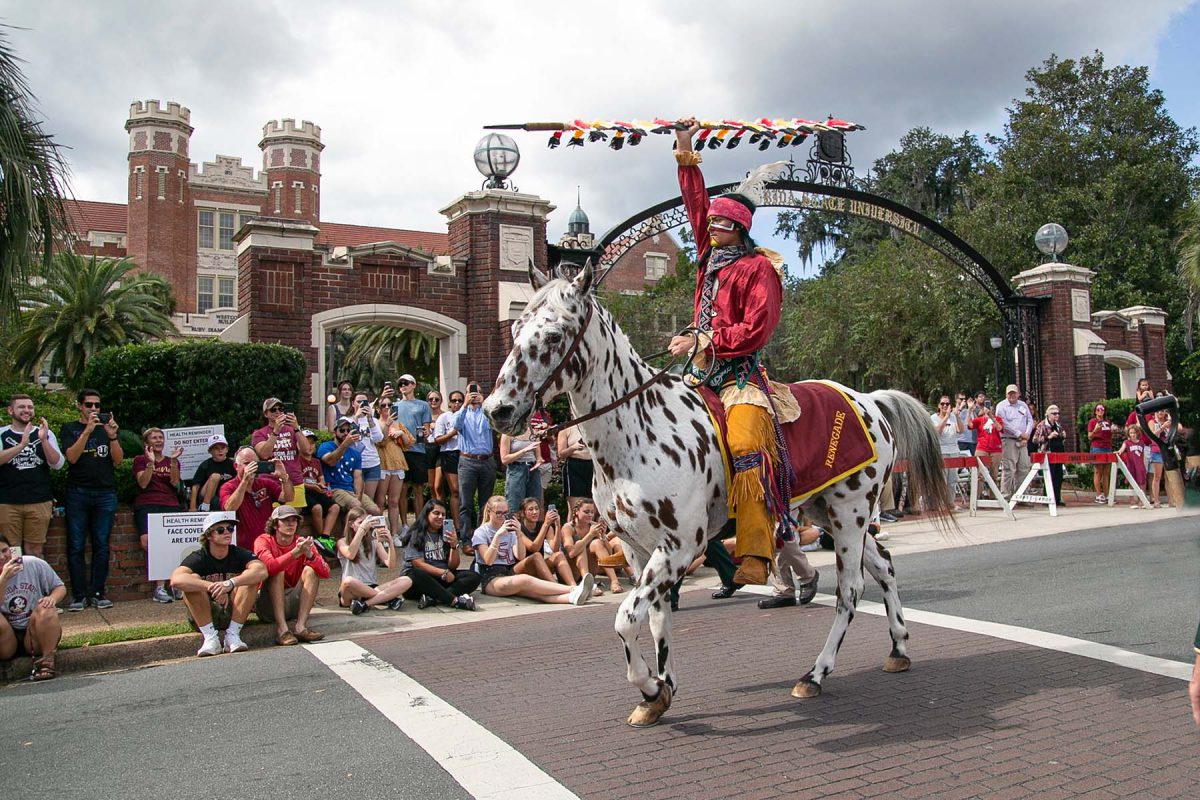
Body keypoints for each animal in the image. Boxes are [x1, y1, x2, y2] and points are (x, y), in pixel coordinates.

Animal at [482, 260, 950, 729]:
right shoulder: (638, 549)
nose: (496, 410)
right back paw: (898, 648)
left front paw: (650, 685)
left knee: (850, 591)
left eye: (554, 335)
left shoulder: (679, 546)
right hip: (828, 513)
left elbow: (625, 618)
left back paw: (815, 674)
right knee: (883, 566)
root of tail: (869, 399)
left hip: (850, 514)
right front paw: (661, 691)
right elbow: (655, 618)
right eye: (516, 328)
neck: (637, 431)